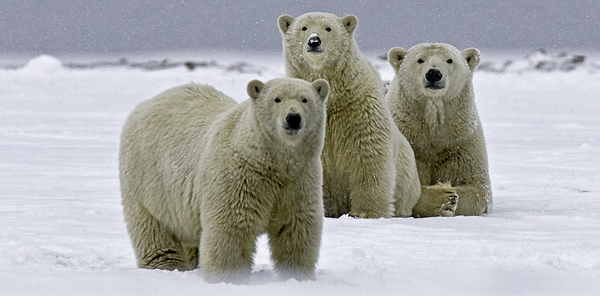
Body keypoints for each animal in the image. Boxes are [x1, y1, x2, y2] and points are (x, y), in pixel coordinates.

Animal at [119, 77, 330, 282]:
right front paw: (229, 278)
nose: (293, 118)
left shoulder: (299, 179)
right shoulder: (239, 178)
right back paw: (167, 265)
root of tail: (147, 103)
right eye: (277, 99)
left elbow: (295, 228)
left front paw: (296, 276)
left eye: (304, 99)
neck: (270, 161)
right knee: (152, 230)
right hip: (146, 182)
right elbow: (231, 229)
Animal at [278, 12, 422, 217]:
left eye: (328, 28)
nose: (314, 41)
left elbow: (369, 154)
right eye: (303, 28)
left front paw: (366, 213)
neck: (334, 98)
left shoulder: (360, 109)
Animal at [386, 42, 494, 216]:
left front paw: (451, 195)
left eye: (449, 60)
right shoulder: (410, 147)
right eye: (420, 60)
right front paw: (443, 198)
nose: (434, 74)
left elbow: (478, 189)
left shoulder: (461, 144)